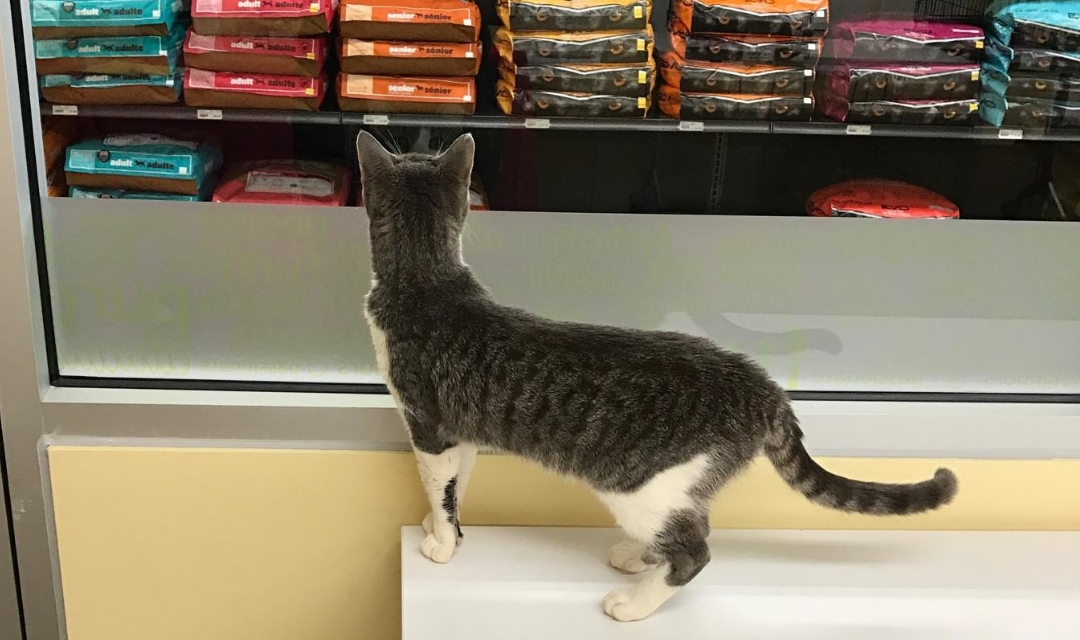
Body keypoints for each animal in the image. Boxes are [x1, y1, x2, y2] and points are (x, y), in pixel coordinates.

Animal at [354, 132, 954, 621]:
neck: (427, 277)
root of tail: (762, 387)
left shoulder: (427, 424)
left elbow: (439, 486)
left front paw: (440, 543)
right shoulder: (464, 430)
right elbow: (460, 483)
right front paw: (447, 530)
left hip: (644, 486)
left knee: (695, 549)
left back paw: (635, 602)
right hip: (682, 487)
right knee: (690, 526)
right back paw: (637, 558)